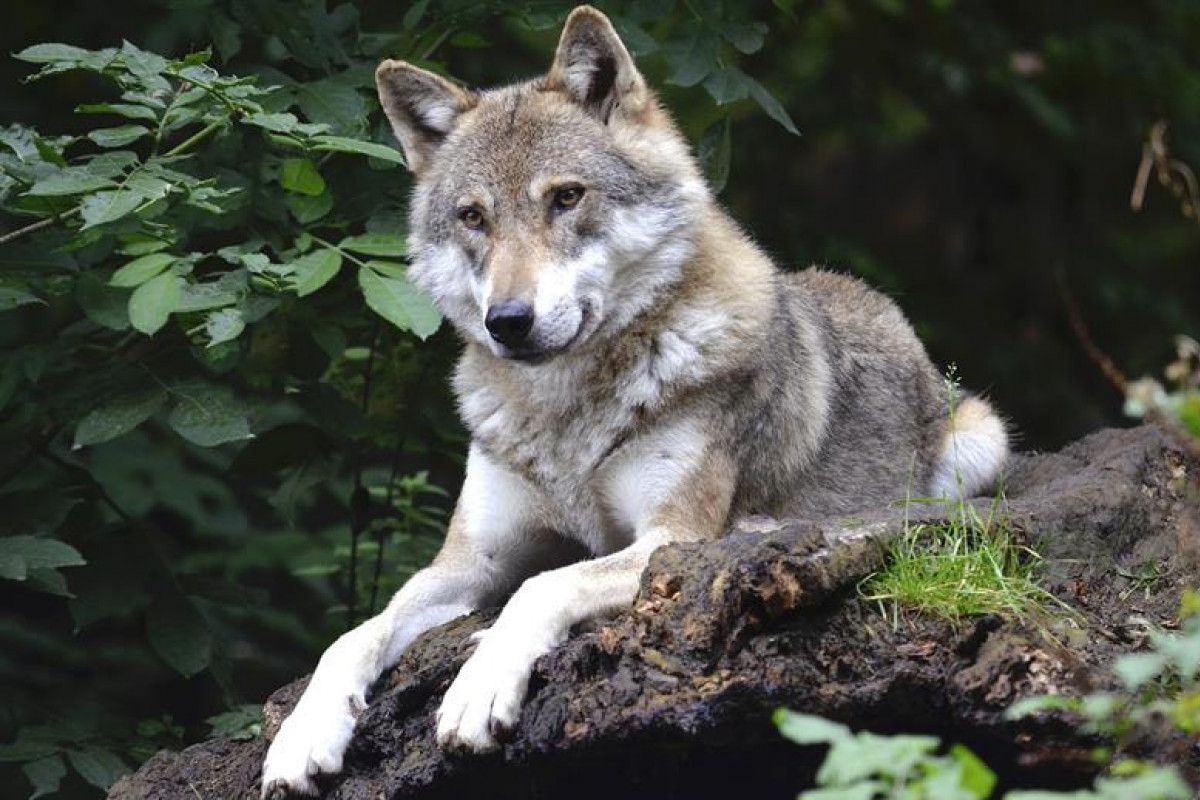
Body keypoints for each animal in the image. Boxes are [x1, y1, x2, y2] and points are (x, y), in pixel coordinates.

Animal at [260, 6, 1003, 796]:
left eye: (565, 197)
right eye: (473, 218)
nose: (507, 321)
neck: (565, 415)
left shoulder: (666, 538)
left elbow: (542, 586)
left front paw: (477, 687)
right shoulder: (468, 562)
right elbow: (354, 634)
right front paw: (303, 735)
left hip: (980, 442)